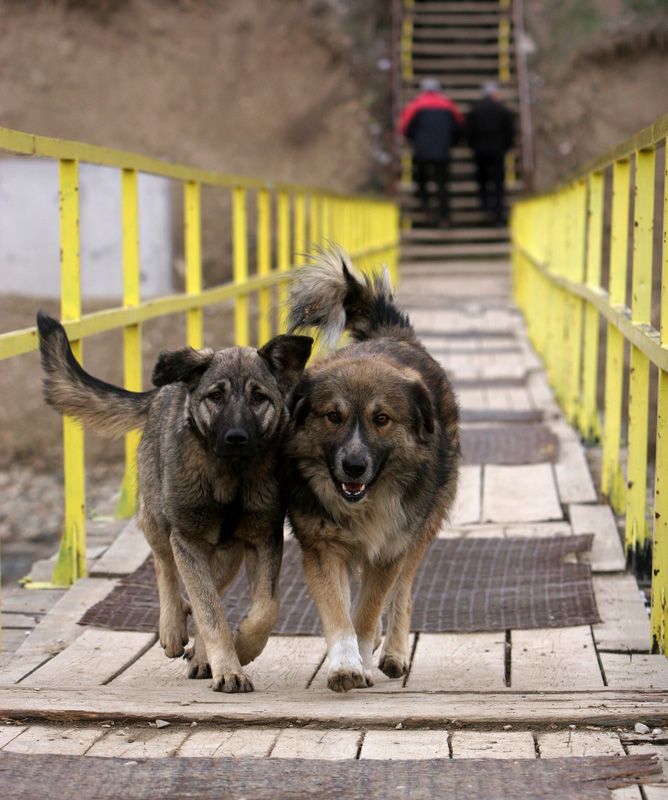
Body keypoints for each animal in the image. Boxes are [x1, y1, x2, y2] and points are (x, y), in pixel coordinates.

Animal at [38, 310, 314, 692]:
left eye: (259, 397)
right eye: (216, 396)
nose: (236, 438)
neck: (230, 477)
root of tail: (163, 390)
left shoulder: (263, 539)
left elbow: (264, 607)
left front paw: (242, 647)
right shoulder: (187, 539)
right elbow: (211, 612)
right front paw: (228, 667)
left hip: (226, 552)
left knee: (209, 590)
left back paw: (199, 652)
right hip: (158, 520)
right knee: (165, 567)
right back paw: (172, 627)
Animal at [284, 250, 456, 692]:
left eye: (381, 419)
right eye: (333, 416)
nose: (354, 465)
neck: (365, 504)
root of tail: (393, 335)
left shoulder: (391, 548)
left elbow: (367, 610)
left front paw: (362, 655)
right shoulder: (323, 546)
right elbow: (339, 611)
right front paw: (345, 664)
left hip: (422, 527)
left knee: (403, 593)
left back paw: (393, 653)